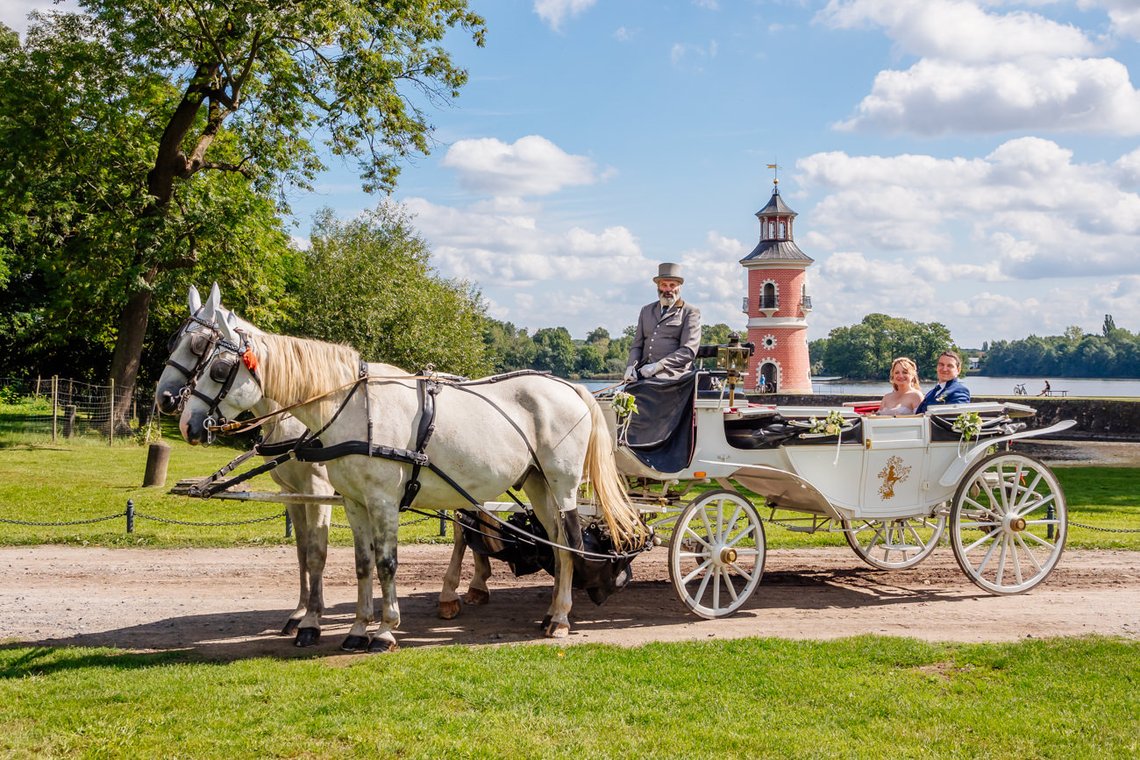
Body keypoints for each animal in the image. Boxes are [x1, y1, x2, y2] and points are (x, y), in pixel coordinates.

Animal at [156, 284, 335, 647]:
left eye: (200, 347)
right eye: (173, 342)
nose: (164, 399)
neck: (293, 418)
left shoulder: (319, 492)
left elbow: (317, 553)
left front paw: (312, 621)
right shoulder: (293, 494)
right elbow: (302, 552)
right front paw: (299, 613)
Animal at [176, 305, 642, 651]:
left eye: (216, 368)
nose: (183, 419)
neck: (352, 407)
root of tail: (569, 386)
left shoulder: (380, 500)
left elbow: (385, 562)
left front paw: (383, 630)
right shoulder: (352, 502)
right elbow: (361, 563)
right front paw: (356, 629)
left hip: (562, 486)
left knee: (567, 545)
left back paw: (560, 617)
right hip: (536, 484)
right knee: (557, 544)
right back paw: (549, 613)